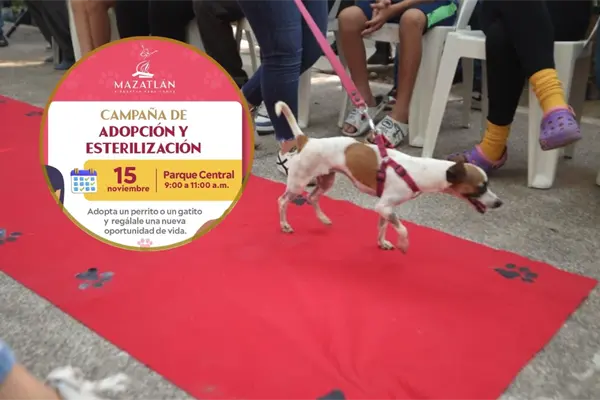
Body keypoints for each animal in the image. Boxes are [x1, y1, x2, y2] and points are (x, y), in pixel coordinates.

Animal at [274, 101, 503, 253]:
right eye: (481, 187)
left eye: (487, 185)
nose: (499, 203)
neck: (419, 170)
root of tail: (306, 140)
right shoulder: (384, 206)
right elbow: (403, 229)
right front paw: (403, 244)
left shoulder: (386, 208)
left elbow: (383, 226)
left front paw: (382, 242)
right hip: (298, 183)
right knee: (283, 201)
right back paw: (285, 225)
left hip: (326, 179)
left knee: (312, 197)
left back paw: (323, 218)